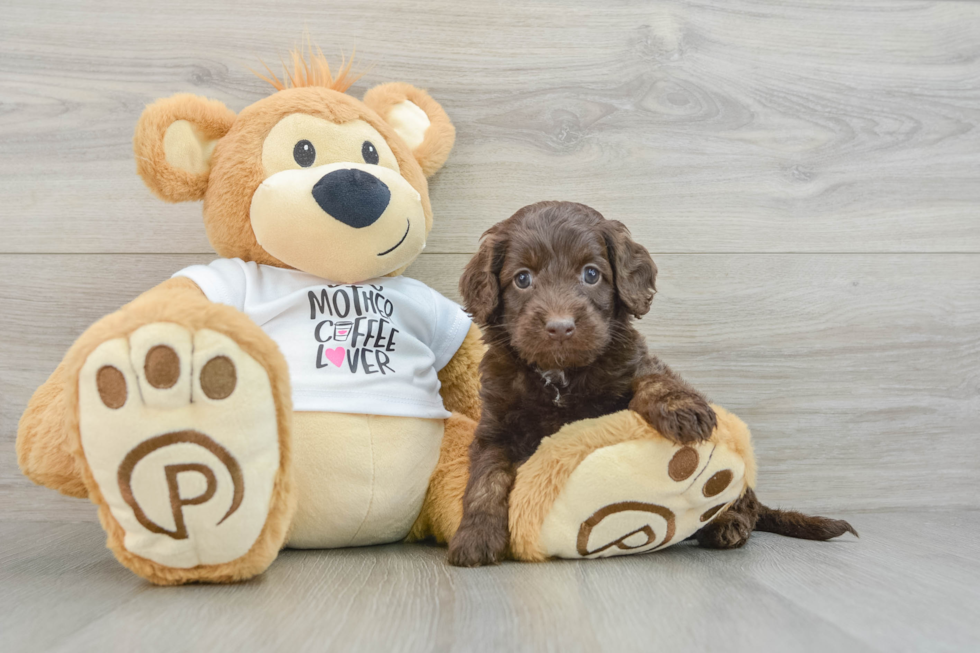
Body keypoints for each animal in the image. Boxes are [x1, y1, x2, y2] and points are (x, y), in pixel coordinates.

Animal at [448, 202, 852, 564]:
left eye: (591, 274)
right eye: (522, 279)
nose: (560, 327)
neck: (559, 376)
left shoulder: (633, 363)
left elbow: (656, 380)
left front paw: (683, 410)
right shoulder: (496, 426)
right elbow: (486, 480)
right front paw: (475, 536)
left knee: (744, 503)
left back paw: (728, 525)